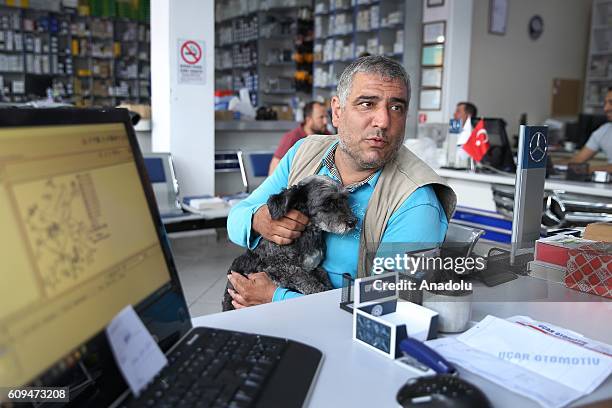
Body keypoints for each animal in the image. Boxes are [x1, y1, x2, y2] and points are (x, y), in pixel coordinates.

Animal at [222, 174, 356, 310]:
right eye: (328, 202)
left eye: (345, 199)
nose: (353, 222)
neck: (308, 235)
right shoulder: (279, 268)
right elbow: (308, 281)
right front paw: (322, 291)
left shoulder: (315, 266)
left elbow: (324, 276)